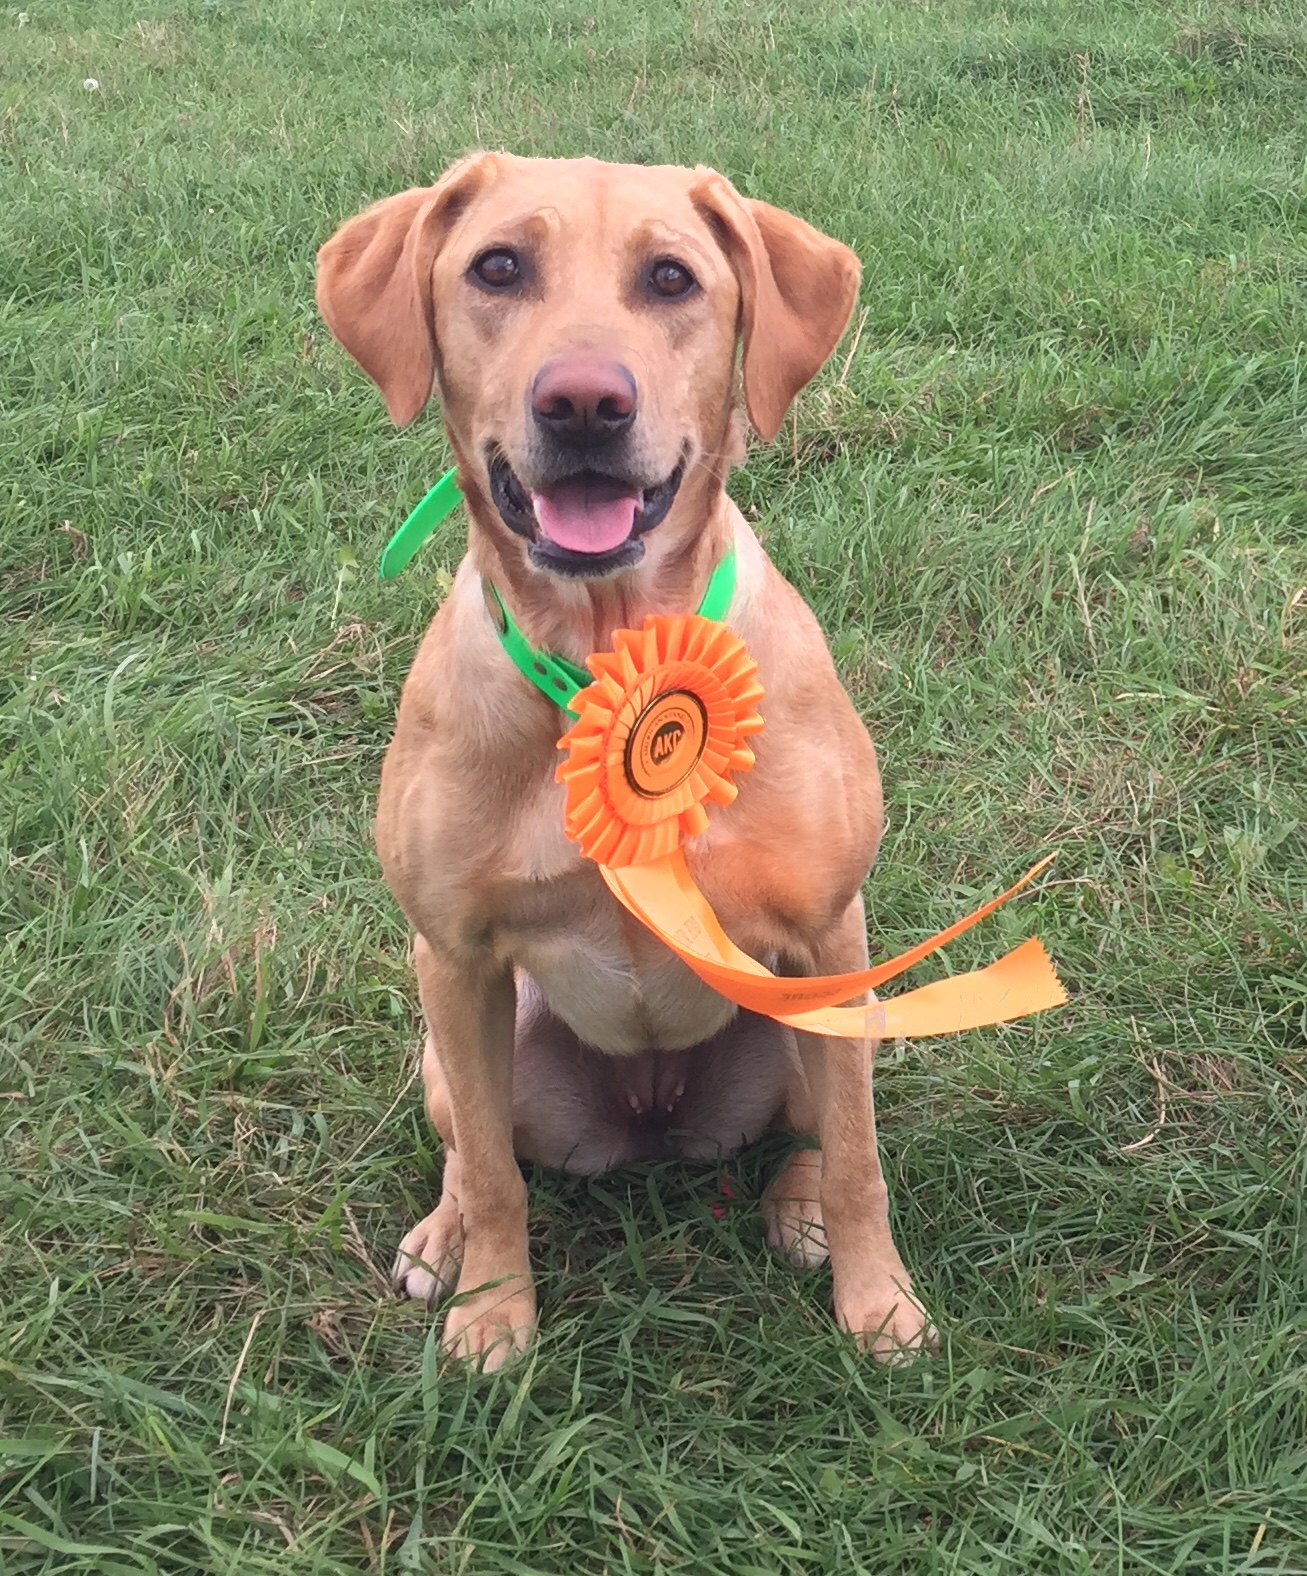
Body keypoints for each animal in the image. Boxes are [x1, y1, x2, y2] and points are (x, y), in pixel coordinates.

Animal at [315, 150, 927, 1367]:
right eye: (497, 266)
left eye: (671, 278)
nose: (585, 403)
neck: (609, 654)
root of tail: (650, 1123)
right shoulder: (456, 957)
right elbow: (495, 1178)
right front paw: (491, 1312)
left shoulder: (828, 934)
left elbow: (858, 1156)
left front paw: (878, 1302)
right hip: (461, 1039)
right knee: (470, 1144)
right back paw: (442, 1236)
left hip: (835, 1010)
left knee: (815, 1132)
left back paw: (796, 1207)